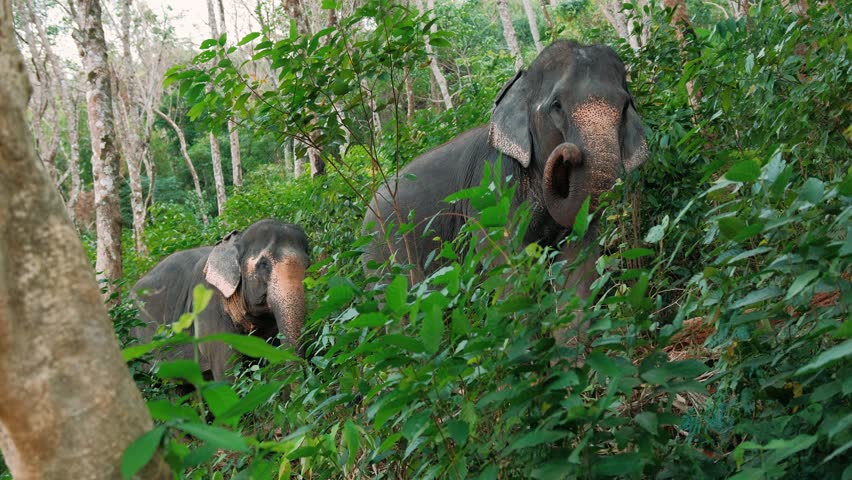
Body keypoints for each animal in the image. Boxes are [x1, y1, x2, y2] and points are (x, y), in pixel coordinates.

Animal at [363, 41, 647, 294]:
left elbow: (579, 264)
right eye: (556, 105)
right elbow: (509, 268)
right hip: (383, 251)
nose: (570, 152)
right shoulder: (491, 190)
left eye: (625, 105)